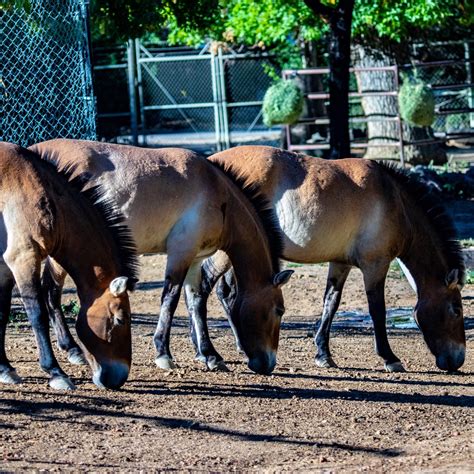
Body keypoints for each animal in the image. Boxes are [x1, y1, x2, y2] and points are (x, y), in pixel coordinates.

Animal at [0, 143, 137, 390]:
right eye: (120, 319)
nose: (118, 378)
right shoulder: (24, 260)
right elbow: (37, 315)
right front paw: (56, 372)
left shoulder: (5, 267)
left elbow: (2, 312)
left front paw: (5, 369)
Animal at [31, 139, 292, 376]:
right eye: (279, 309)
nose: (268, 363)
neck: (218, 194)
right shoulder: (180, 252)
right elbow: (170, 299)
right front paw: (164, 354)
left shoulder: (195, 259)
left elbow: (196, 302)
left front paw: (210, 356)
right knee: (51, 292)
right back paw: (72, 350)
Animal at [190, 146, 466, 372]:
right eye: (456, 309)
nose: (458, 360)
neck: (395, 201)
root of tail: (212, 166)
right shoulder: (375, 265)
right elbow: (377, 310)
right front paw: (390, 358)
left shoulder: (340, 263)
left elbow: (330, 303)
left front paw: (323, 354)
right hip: (224, 253)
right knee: (201, 291)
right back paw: (210, 355)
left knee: (223, 294)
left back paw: (222, 347)